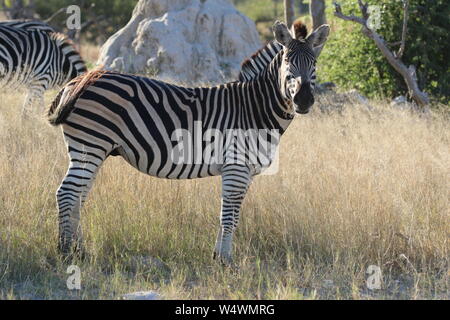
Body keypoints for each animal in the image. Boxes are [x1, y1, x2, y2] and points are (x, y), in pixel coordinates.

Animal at [48, 20, 330, 264]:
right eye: (287, 61)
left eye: (314, 63)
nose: (304, 100)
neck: (254, 107)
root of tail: (80, 80)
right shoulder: (236, 167)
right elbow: (229, 216)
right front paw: (225, 261)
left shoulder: (244, 171)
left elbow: (230, 213)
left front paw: (219, 256)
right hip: (90, 144)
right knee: (67, 192)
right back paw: (65, 251)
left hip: (94, 149)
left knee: (79, 195)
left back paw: (80, 250)